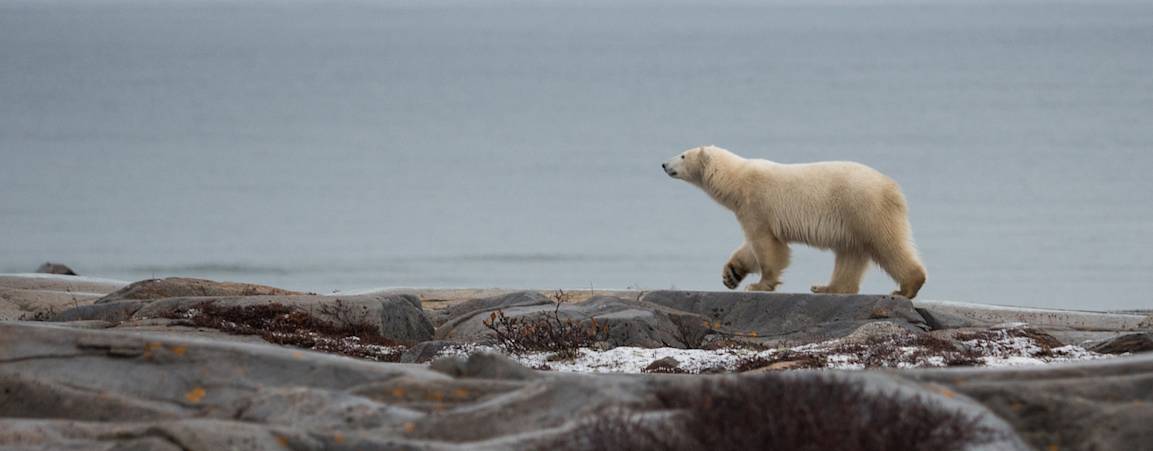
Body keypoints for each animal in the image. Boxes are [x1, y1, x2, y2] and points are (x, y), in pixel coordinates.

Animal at [664, 146, 922, 297]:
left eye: (683, 155)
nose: (664, 164)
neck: (736, 180)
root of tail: (893, 187)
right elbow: (752, 247)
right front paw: (731, 275)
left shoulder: (757, 204)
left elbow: (766, 245)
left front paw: (759, 285)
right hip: (851, 219)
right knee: (850, 252)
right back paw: (828, 287)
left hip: (863, 207)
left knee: (887, 243)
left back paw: (907, 287)